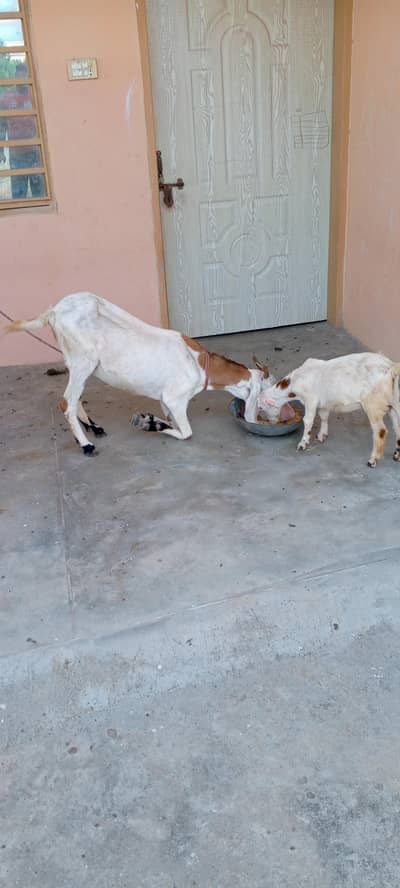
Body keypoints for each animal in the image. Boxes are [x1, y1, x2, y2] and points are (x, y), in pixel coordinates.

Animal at [6, 291, 269, 455]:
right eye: (266, 396)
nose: (258, 419)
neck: (200, 363)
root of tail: (53, 312)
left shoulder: (165, 400)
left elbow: (168, 419)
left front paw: (150, 421)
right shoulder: (175, 397)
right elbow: (186, 433)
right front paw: (151, 425)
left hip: (76, 362)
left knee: (75, 396)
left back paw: (94, 428)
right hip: (84, 360)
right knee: (66, 402)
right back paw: (86, 445)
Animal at [257, 352, 400, 467]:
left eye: (261, 408)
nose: (270, 423)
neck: (296, 381)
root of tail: (390, 366)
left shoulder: (311, 399)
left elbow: (308, 420)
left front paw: (303, 443)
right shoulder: (323, 403)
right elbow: (324, 416)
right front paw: (322, 435)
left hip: (373, 404)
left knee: (380, 431)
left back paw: (373, 460)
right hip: (394, 403)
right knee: (397, 427)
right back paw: (396, 455)